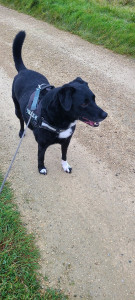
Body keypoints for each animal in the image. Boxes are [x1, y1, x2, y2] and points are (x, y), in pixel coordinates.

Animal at [12, 31, 107, 173]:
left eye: (94, 99)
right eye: (84, 103)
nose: (105, 115)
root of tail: (24, 70)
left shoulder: (66, 141)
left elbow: (64, 155)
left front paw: (65, 166)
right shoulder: (42, 144)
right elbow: (41, 157)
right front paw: (41, 168)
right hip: (17, 109)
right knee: (21, 120)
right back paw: (22, 131)